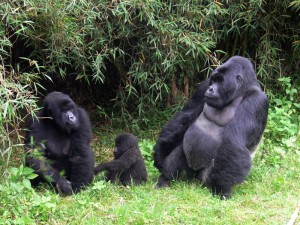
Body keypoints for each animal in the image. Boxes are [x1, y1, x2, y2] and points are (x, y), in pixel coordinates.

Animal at [154, 56, 268, 199]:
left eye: (220, 80)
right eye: (213, 80)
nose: (211, 89)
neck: (241, 91)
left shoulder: (256, 101)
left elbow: (233, 142)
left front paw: (221, 188)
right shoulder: (203, 86)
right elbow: (185, 117)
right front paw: (160, 152)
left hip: (204, 177)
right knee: (180, 151)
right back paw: (164, 179)